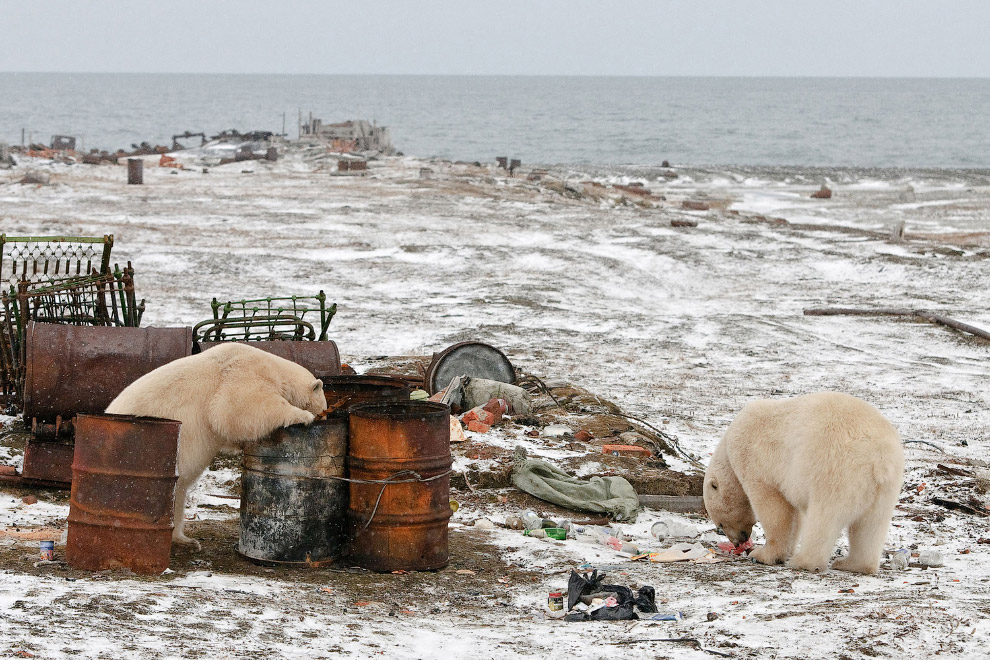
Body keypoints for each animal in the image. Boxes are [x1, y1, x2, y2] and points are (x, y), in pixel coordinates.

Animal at [107, 342, 330, 548]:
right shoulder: (243, 373)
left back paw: (185, 540)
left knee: (178, 494)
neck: (274, 367)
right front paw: (303, 416)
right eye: (322, 406)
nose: (325, 415)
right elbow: (238, 408)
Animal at [704, 392, 908, 572]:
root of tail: (879, 458)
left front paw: (763, 554)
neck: (729, 449)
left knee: (824, 517)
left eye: (720, 525)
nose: (740, 541)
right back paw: (852, 564)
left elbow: (773, 507)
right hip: (885, 486)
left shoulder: (755, 461)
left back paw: (804, 561)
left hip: (836, 470)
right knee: (871, 525)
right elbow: (795, 516)